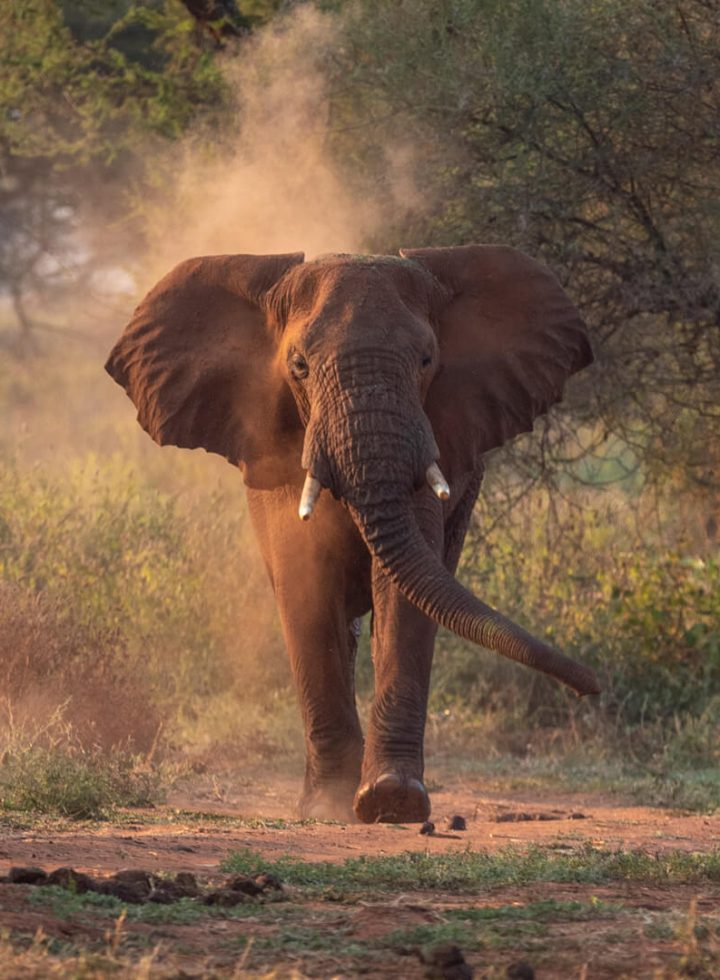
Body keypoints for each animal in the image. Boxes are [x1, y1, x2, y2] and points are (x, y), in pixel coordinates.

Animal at [106, 244, 599, 824]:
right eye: (299, 366)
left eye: (426, 360)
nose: (593, 687)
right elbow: (307, 585)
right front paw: (329, 806)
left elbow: (404, 596)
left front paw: (392, 799)